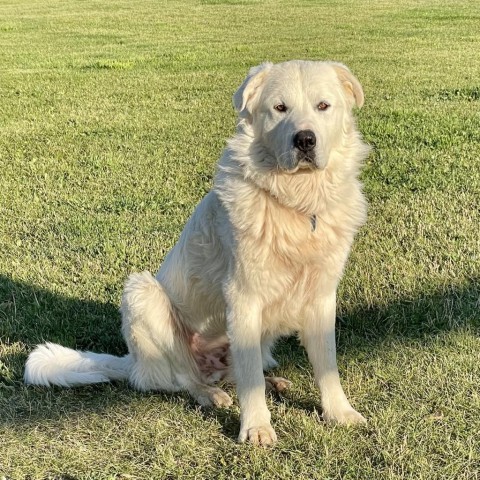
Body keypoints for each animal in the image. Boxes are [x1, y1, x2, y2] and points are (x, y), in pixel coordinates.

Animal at [24, 60, 372, 446]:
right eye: (280, 108)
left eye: (323, 106)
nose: (305, 140)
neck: (297, 202)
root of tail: (133, 362)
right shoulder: (243, 298)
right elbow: (248, 380)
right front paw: (256, 427)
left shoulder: (321, 297)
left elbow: (326, 366)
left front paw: (339, 413)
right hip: (143, 294)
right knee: (183, 379)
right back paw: (211, 395)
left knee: (238, 371)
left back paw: (271, 383)